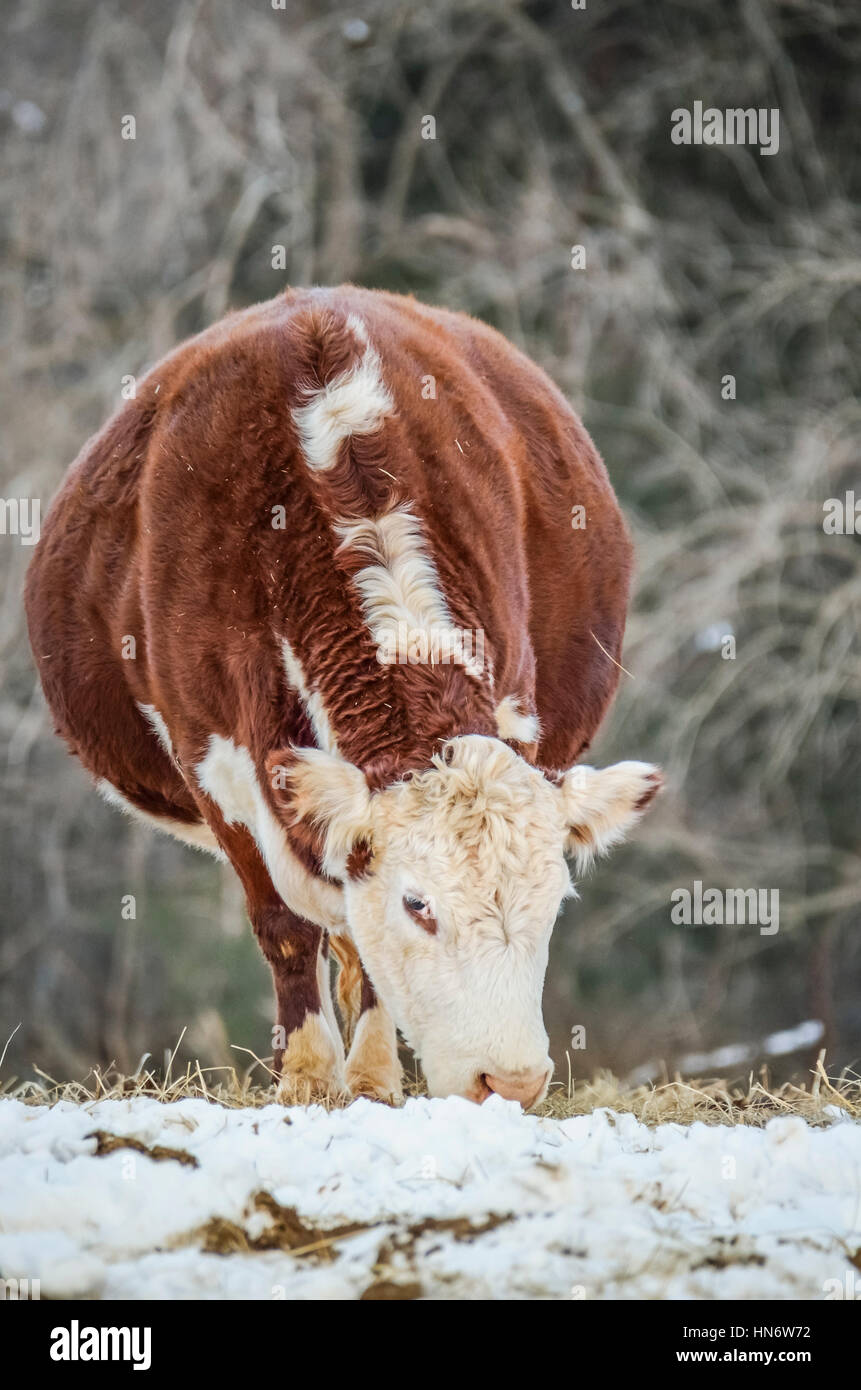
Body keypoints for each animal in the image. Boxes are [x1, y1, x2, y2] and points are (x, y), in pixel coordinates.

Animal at [25, 285, 661, 1109]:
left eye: (555, 900)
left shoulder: (513, 713)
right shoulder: (217, 765)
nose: (512, 1081)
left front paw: (369, 1079)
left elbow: (361, 939)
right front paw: (304, 1077)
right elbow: (284, 926)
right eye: (418, 904)